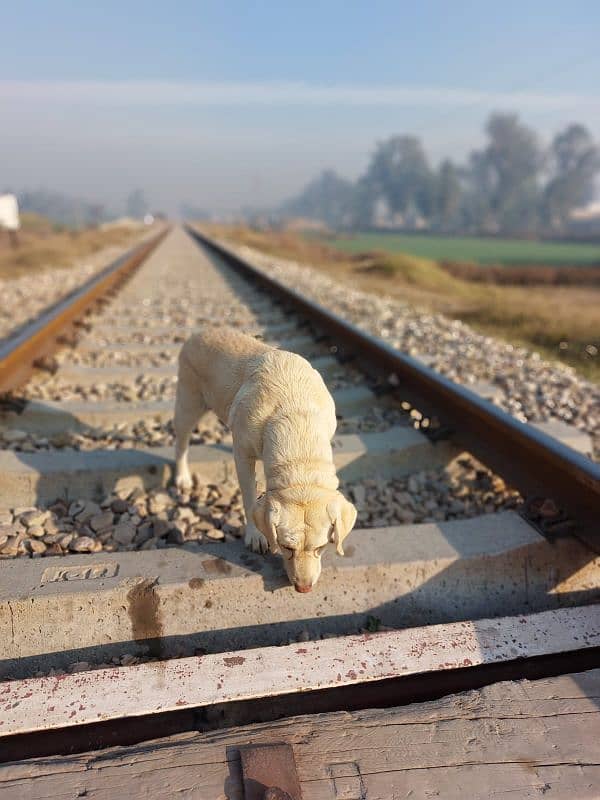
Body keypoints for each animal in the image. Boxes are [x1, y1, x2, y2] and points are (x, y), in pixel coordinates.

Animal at [173, 324, 354, 592]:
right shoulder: (242, 454)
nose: (303, 588)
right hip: (188, 402)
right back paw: (182, 478)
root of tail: (199, 331)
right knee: (181, 441)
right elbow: (249, 497)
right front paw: (255, 536)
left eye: (321, 547)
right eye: (287, 547)